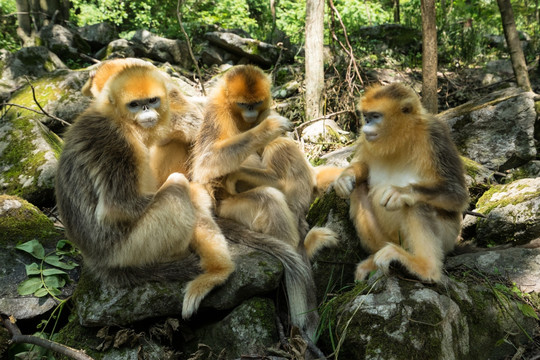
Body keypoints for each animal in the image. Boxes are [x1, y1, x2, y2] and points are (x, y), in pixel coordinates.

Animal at [57, 64, 234, 318]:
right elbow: (118, 206)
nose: (146, 109)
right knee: (178, 188)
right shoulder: (119, 143)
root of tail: (96, 261)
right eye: (134, 104)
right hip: (131, 250)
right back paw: (215, 271)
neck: (120, 120)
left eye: (152, 100)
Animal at [332, 83, 466, 282]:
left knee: (416, 204)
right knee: (358, 189)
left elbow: (458, 195)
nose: (366, 125)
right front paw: (345, 176)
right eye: (366, 117)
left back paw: (424, 268)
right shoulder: (366, 140)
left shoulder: (435, 134)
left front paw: (401, 192)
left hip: (448, 237)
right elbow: (362, 167)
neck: (402, 139)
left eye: (376, 116)